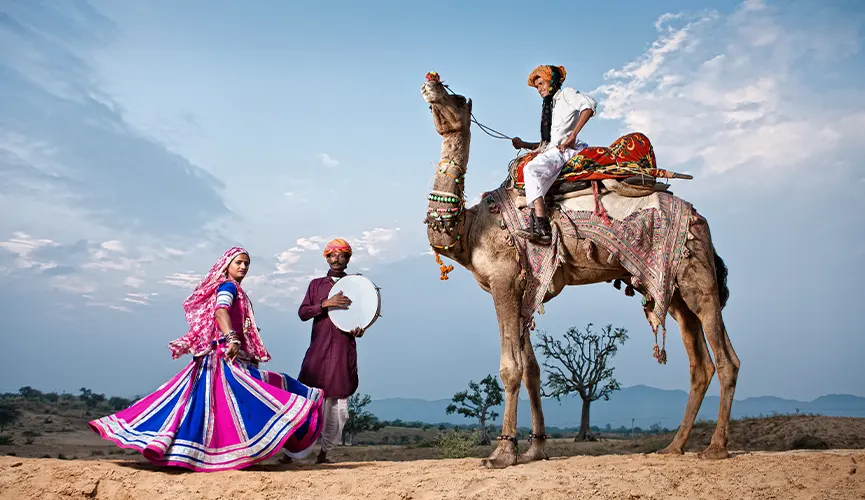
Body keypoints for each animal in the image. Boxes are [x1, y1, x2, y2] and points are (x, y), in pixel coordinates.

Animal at [420, 74, 740, 469]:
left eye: (457, 98)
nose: (431, 81)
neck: (471, 229)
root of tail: (699, 217)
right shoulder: (526, 287)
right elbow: (532, 370)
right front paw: (536, 449)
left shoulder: (504, 281)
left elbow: (510, 368)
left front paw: (503, 453)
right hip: (675, 287)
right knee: (701, 363)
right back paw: (674, 446)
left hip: (697, 274)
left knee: (725, 358)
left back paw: (716, 447)